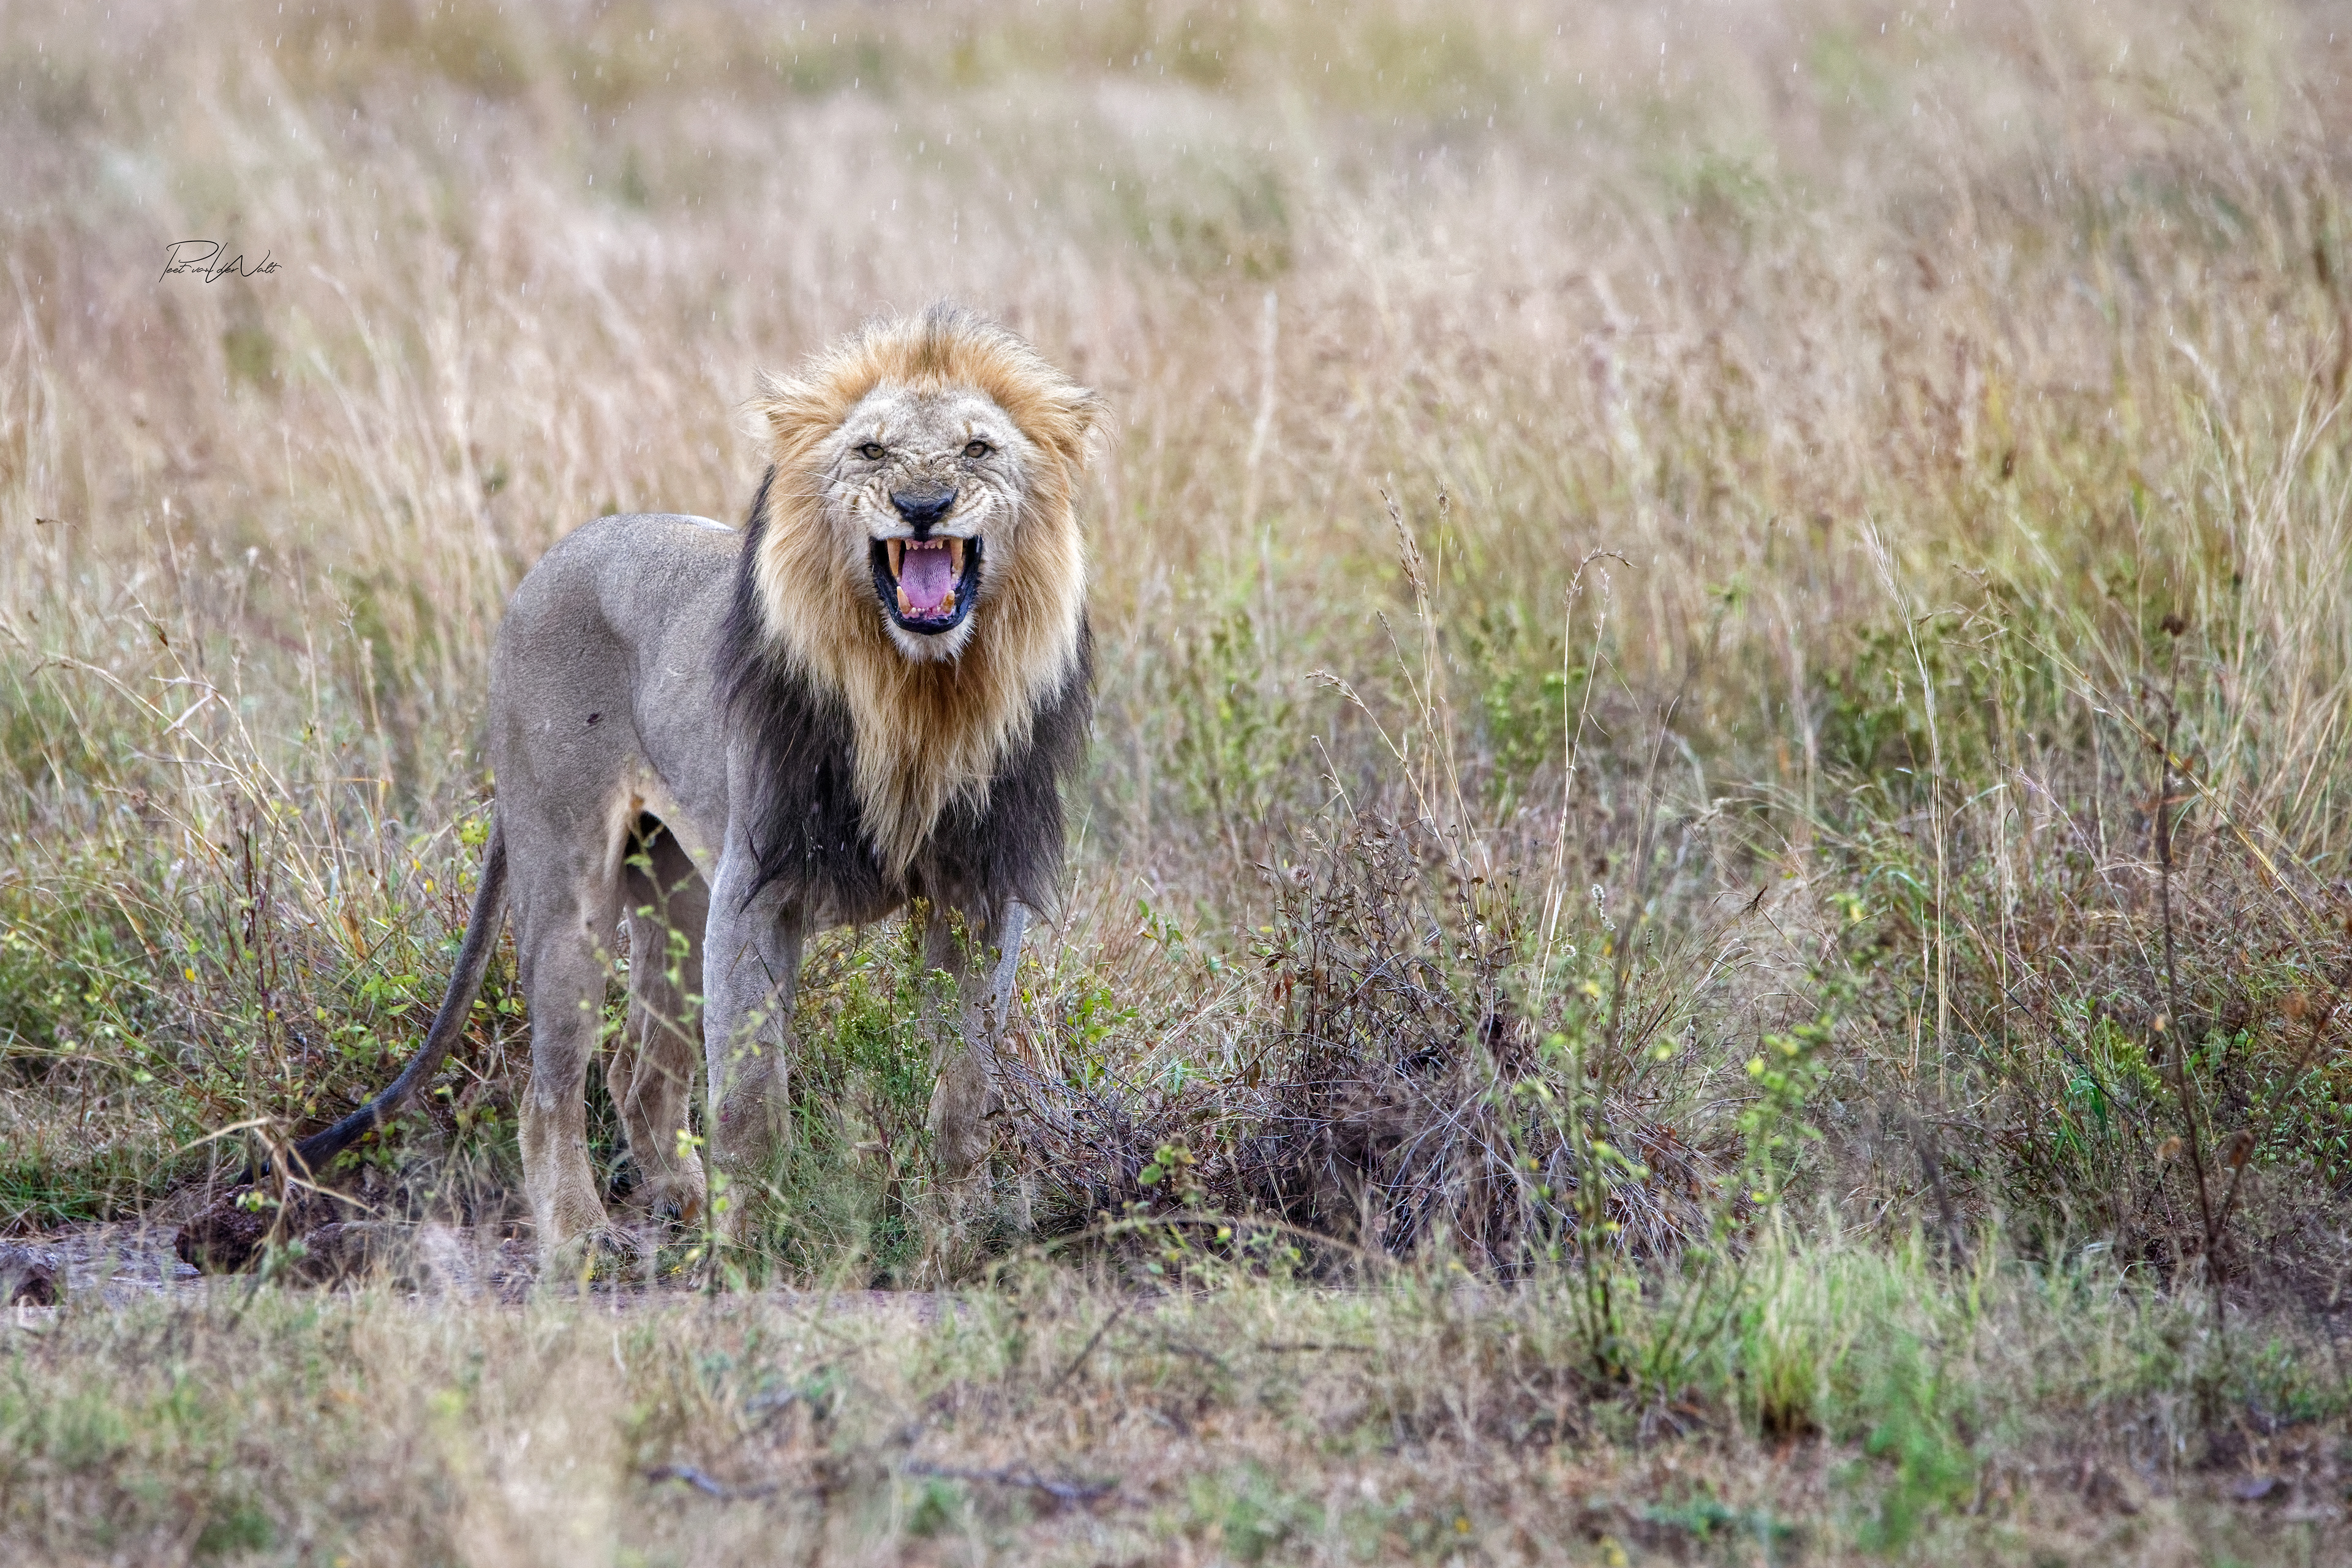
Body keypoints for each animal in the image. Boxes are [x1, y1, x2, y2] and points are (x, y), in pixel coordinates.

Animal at [272, 303, 1100, 1262]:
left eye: (977, 448)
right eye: (871, 451)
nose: (922, 507)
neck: (915, 698)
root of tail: (554, 556)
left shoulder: (981, 893)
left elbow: (967, 1096)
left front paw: (955, 1249)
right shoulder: (756, 888)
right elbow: (749, 1103)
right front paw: (748, 1257)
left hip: (672, 889)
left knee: (638, 1069)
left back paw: (679, 1198)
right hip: (569, 888)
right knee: (550, 1087)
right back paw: (582, 1238)